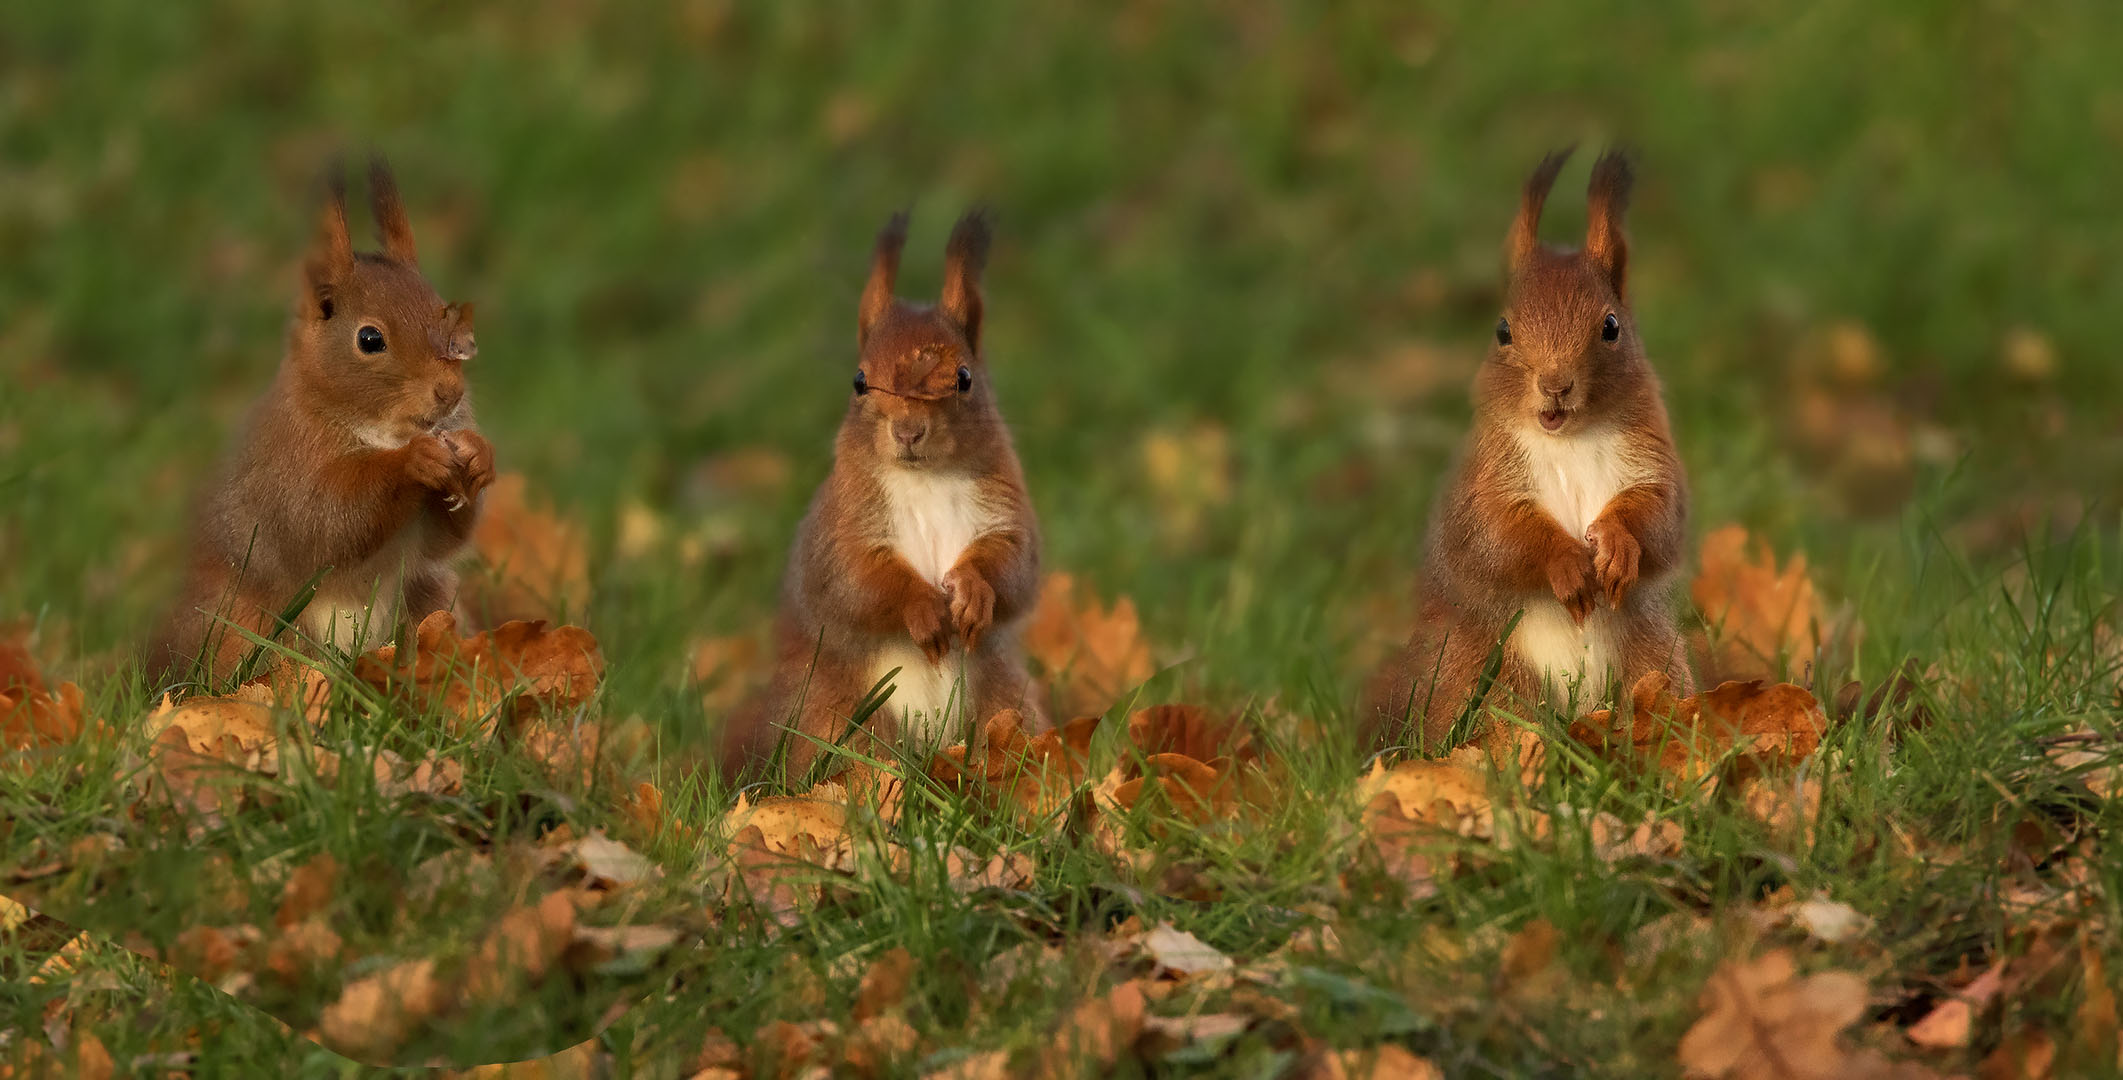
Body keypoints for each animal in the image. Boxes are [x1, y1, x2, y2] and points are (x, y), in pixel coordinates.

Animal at [153, 160, 492, 683]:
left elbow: (441, 541)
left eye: (451, 321)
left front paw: (477, 456)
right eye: (370, 339)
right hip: (246, 627)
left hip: (427, 604)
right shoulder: (284, 468)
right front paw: (414, 462)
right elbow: (327, 519)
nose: (450, 394)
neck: (382, 432)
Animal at [726, 210, 1048, 780]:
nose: (909, 431)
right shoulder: (843, 525)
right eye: (859, 381)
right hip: (838, 721)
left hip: (1005, 703)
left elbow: (1014, 568)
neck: (926, 481)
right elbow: (857, 580)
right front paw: (921, 606)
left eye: (964, 378)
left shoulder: (1005, 513)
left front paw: (972, 590)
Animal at [1367, 147, 1698, 746]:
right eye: (1502, 330)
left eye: (1611, 326)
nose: (1555, 384)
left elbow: (1660, 522)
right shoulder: (1484, 482)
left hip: (1655, 664)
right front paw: (1565, 561)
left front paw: (1616, 544)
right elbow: (1495, 536)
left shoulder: (1652, 463)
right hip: (1489, 684)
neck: (1569, 440)